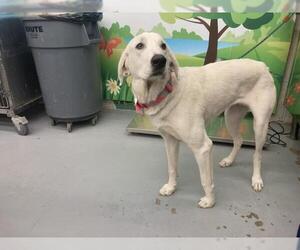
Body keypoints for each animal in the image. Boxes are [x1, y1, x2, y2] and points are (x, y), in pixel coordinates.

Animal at [119, 33, 276, 209]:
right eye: (139, 46)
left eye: (163, 46)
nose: (160, 60)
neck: (167, 92)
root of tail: (263, 66)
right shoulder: (170, 141)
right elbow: (172, 168)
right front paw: (171, 187)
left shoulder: (203, 148)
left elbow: (206, 180)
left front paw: (210, 201)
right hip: (231, 118)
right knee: (239, 140)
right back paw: (229, 160)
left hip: (260, 125)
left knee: (257, 155)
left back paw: (256, 180)